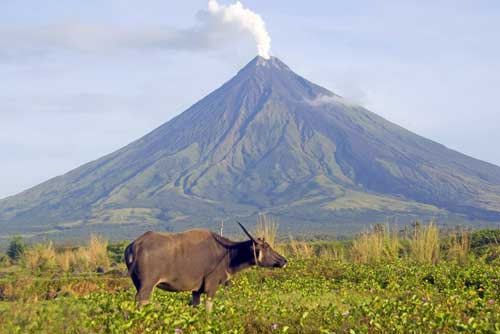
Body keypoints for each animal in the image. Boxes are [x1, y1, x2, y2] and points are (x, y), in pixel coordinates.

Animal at [124, 223, 288, 312]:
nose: (284, 260)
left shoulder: (196, 291)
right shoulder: (211, 286)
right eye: (267, 247)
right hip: (146, 286)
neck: (227, 254)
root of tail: (134, 246)